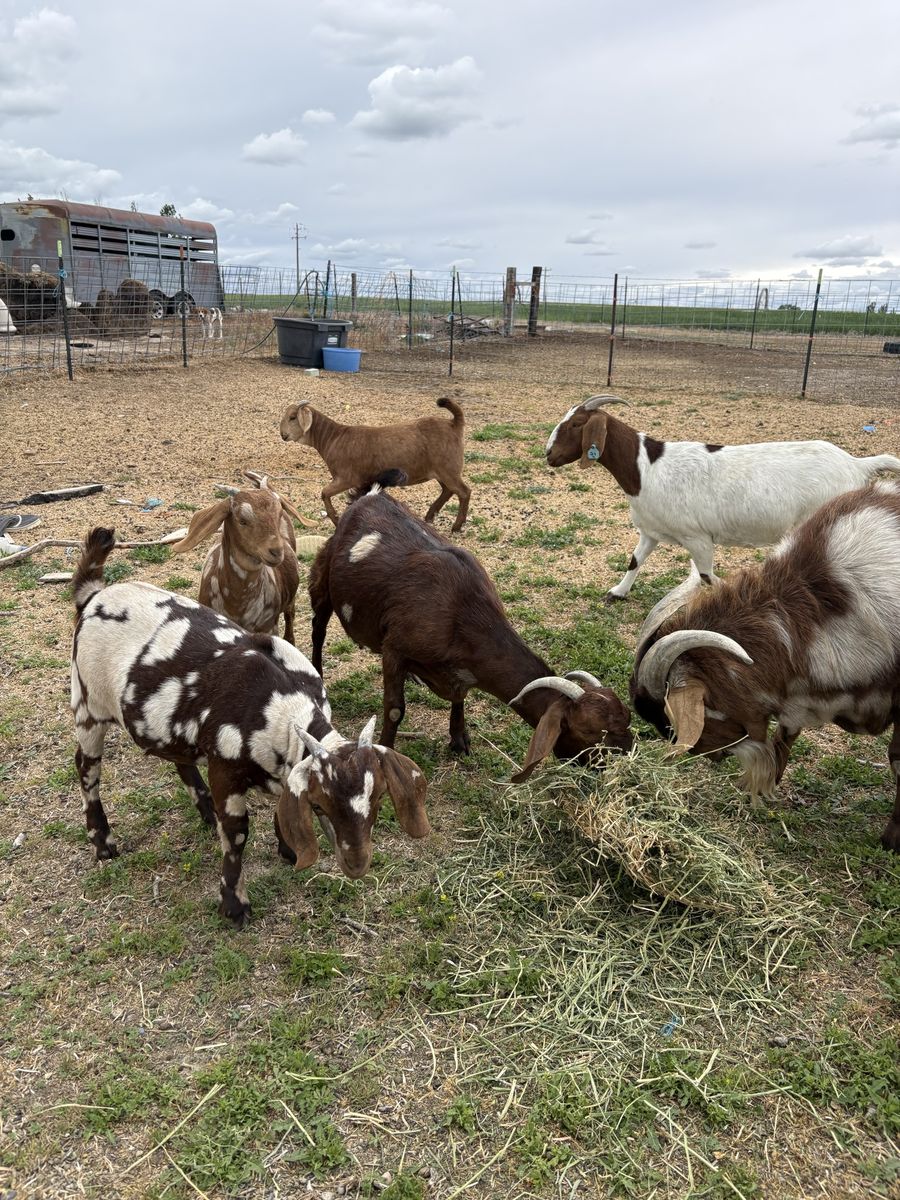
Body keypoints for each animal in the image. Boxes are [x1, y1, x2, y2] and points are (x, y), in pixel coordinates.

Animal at [70, 528, 431, 926]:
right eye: (321, 805)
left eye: (378, 797)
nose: (357, 864)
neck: (283, 709)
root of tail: (94, 596)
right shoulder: (225, 770)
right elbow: (238, 834)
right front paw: (234, 904)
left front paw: (288, 849)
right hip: (88, 702)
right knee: (86, 768)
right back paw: (103, 842)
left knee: (179, 759)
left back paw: (204, 811)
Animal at [171, 472, 313, 644]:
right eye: (242, 521)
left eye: (278, 516)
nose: (276, 552)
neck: (237, 604)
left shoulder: (268, 627)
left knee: (290, 615)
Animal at [280, 397, 471, 531]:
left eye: (293, 417)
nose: (283, 435)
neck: (333, 438)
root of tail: (454, 423)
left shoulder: (347, 478)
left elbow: (324, 493)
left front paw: (336, 520)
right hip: (440, 470)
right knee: (448, 490)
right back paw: (430, 516)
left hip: (448, 467)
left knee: (463, 491)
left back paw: (456, 526)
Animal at [308, 475, 633, 781]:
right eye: (591, 733)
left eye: (626, 718)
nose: (625, 756)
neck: (463, 612)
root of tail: (369, 495)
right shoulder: (394, 649)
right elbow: (395, 708)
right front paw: (387, 753)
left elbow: (459, 695)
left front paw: (459, 739)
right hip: (323, 579)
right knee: (318, 630)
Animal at [545, 395, 900, 601]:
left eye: (576, 424)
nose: (548, 454)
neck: (646, 469)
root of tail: (856, 465)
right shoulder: (651, 530)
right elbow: (636, 559)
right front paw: (617, 592)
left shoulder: (697, 537)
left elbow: (706, 577)